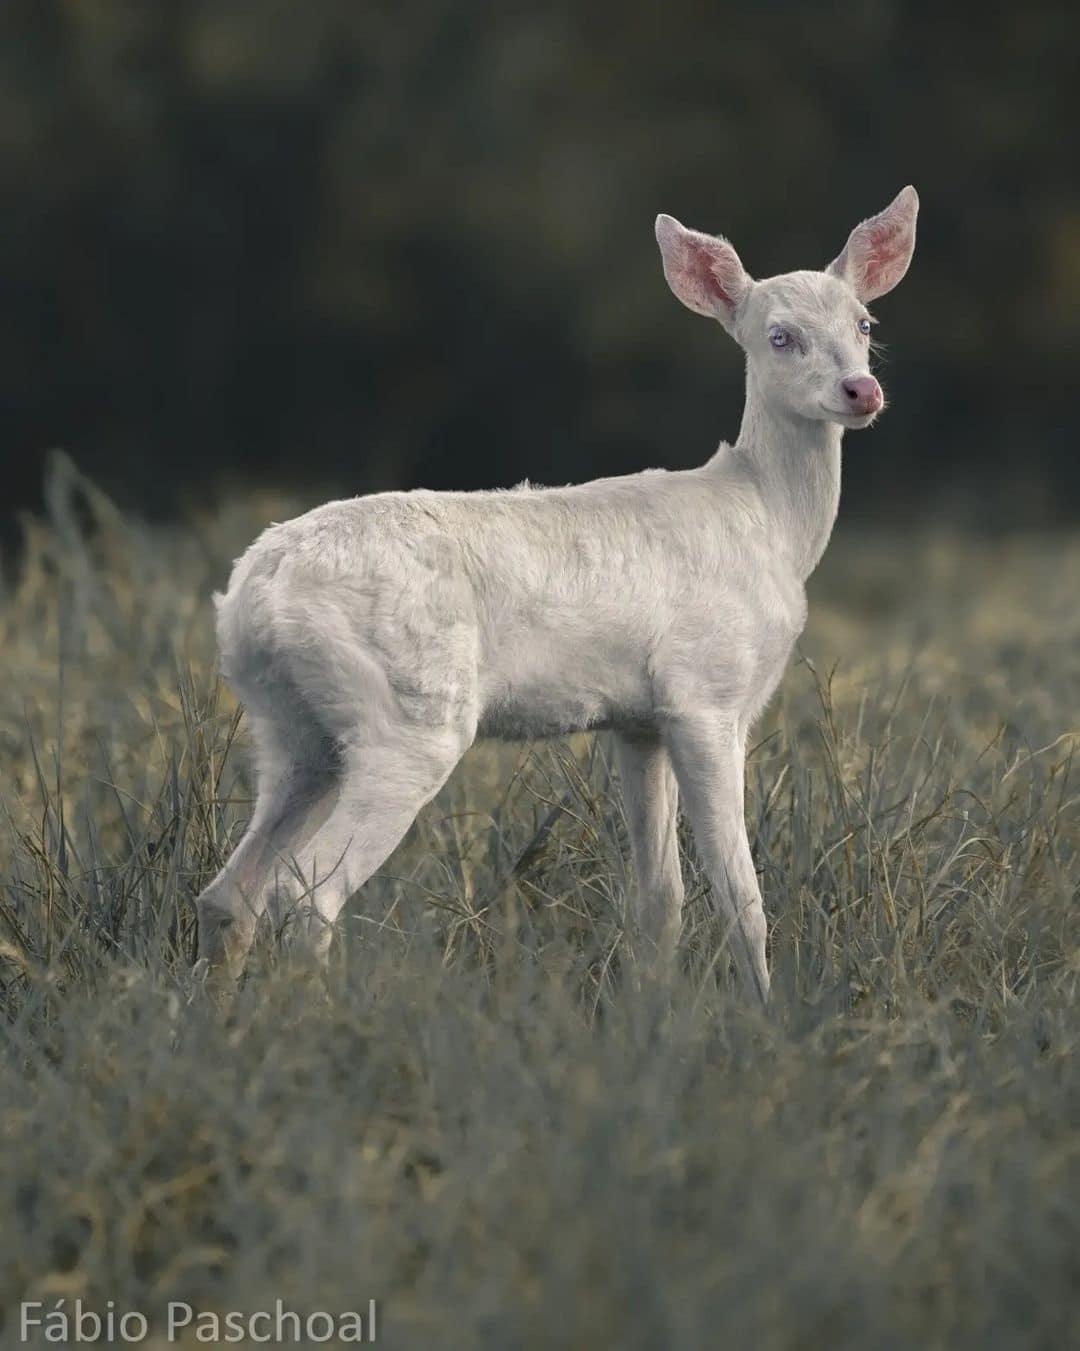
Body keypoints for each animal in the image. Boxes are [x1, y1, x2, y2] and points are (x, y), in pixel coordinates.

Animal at [195, 185, 919, 999]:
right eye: (780, 336)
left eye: (864, 324)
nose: (861, 389)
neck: (769, 522)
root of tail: (252, 595)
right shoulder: (706, 694)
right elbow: (741, 894)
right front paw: (764, 1011)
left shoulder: (637, 720)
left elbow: (661, 897)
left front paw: (654, 1006)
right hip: (406, 710)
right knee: (305, 887)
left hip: (292, 725)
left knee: (230, 891)